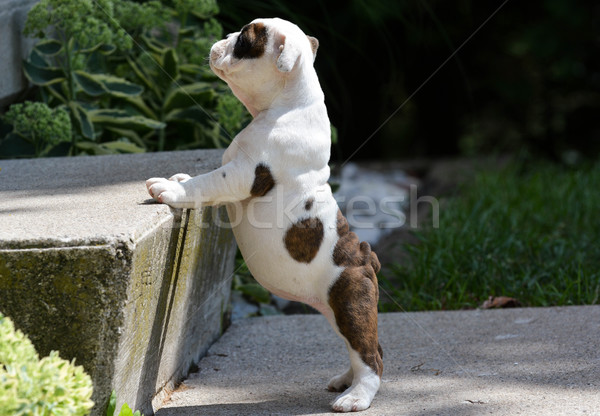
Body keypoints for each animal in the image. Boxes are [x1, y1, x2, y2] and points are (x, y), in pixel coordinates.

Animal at [148, 17, 386, 412]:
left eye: (244, 40)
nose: (223, 38)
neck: (287, 102)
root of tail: (366, 258)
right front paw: (178, 177)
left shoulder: (243, 173)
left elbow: (207, 182)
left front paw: (172, 189)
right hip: (337, 311)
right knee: (365, 349)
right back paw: (345, 381)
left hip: (350, 303)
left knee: (370, 355)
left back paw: (356, 397)